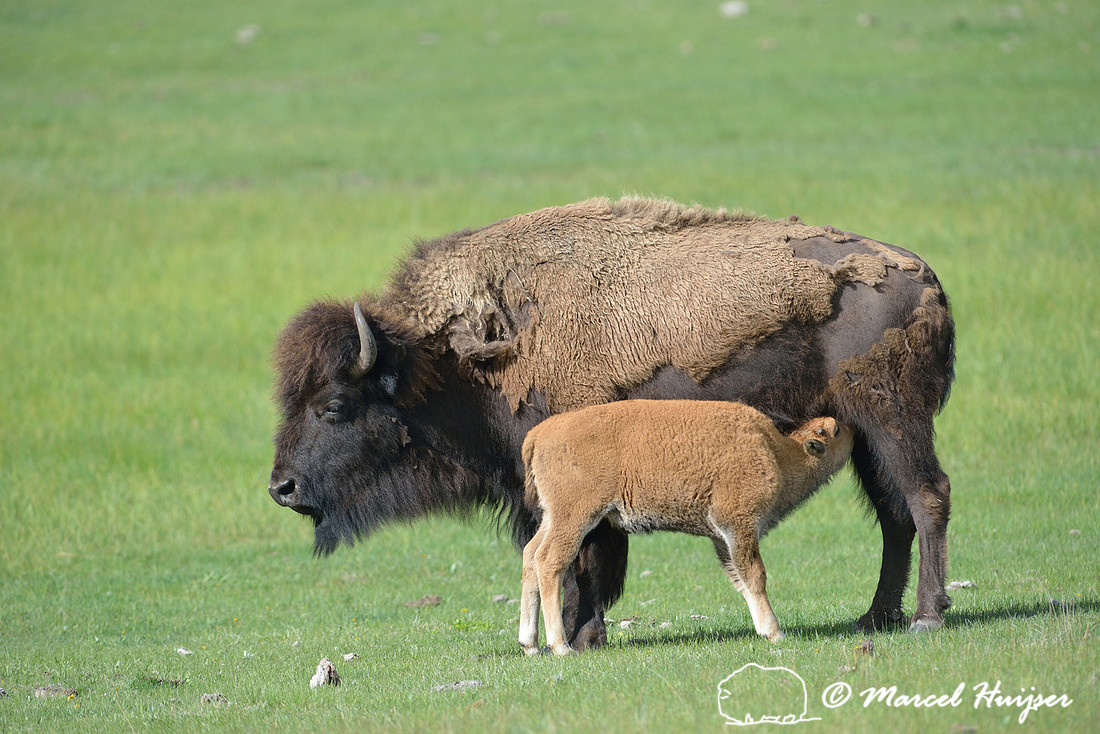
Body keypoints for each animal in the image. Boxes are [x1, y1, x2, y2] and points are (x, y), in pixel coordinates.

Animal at [268, 197, 955, 648]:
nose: (282, 487)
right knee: (893, 514)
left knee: (926, 498)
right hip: (861, 435)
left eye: (333, 406)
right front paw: (575, 632)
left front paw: (582, 634)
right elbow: (571, 556)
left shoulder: (582, 491)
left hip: (894, 421)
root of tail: (928, 281)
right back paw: (876, 618)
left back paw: (926, 617)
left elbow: (589, 558)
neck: (449, 363)